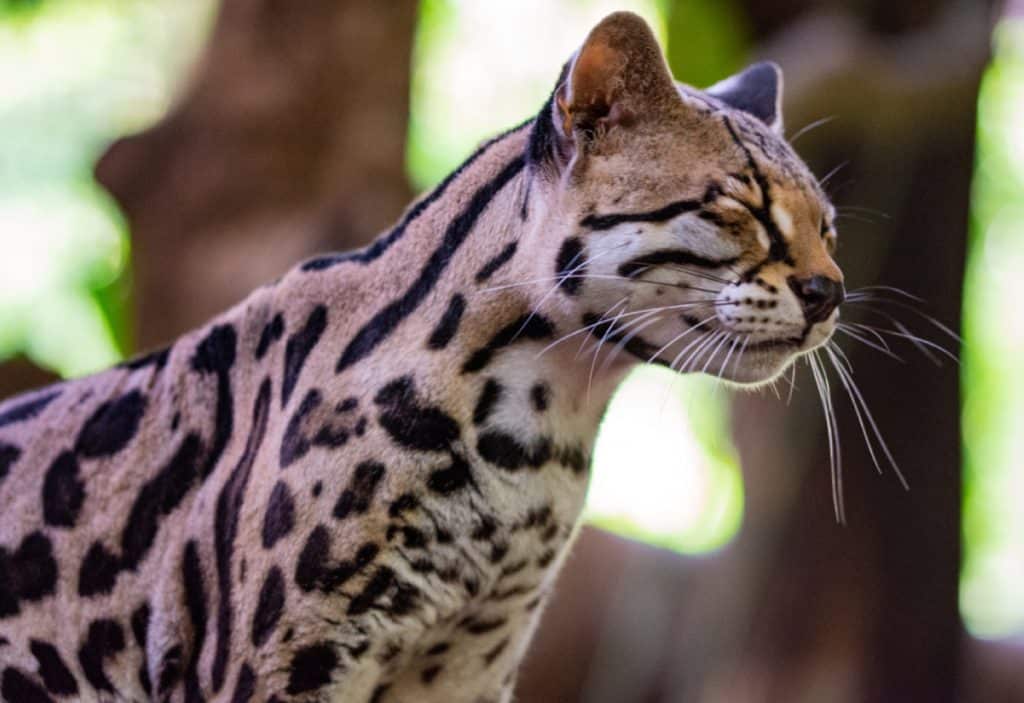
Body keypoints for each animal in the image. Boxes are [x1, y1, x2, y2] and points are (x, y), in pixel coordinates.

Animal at [0, 12, 844, 703]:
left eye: (827, 226)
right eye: (739, 206)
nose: (831, 290)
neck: (537, 425)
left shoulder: (466, 665)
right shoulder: (283, 664)